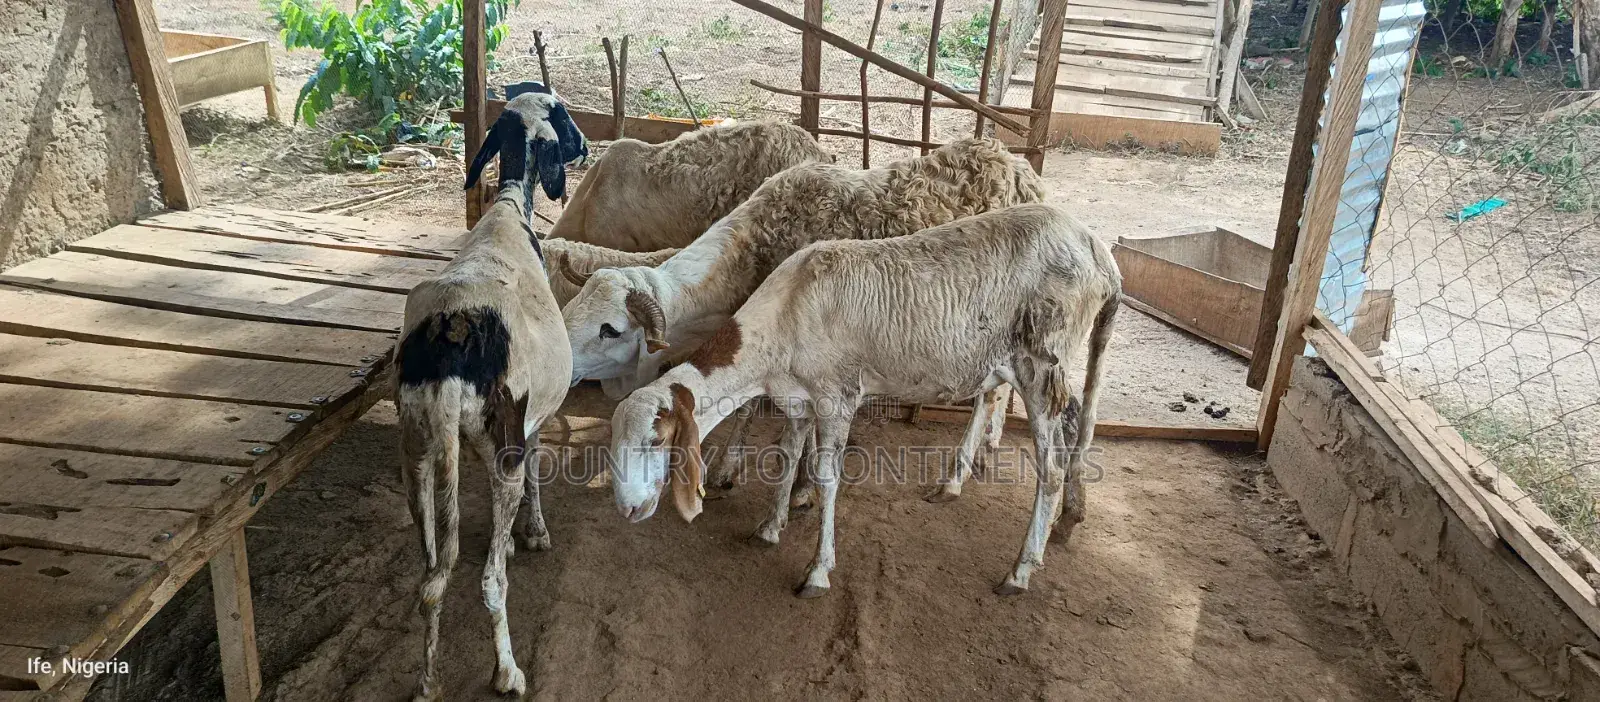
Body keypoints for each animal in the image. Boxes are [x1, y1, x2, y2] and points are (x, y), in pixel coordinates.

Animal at [394, 92, 575, 700]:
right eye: (561, 114)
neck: (507, 214)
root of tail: (452, 343)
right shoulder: (527, 428)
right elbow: (539, 473)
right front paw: (534, 533)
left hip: (418, 454)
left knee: (431, 576)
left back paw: (427, 681)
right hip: (500, 453)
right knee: (489, 581)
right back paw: (508, 672)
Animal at [604, 203, 1121, 599]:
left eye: (656, 440)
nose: (626, 510)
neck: (780, 320)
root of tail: (1098, 252)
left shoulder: (837, 397)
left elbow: (826, 477)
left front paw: (816, 572)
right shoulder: (799, 398)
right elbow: (787, 456)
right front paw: (770, 528)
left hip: (1043, 363)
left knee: (1050, 466)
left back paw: (1021, 569)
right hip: (1011, 359)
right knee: (1057, 419)